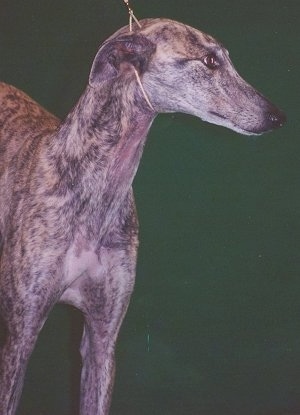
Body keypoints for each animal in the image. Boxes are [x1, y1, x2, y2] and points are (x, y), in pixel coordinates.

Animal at [0, 17, 286, 414]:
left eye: (225, 58)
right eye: (210, 61)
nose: (277, 117)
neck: (94, 194)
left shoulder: (103, 337)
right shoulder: (20, 336)